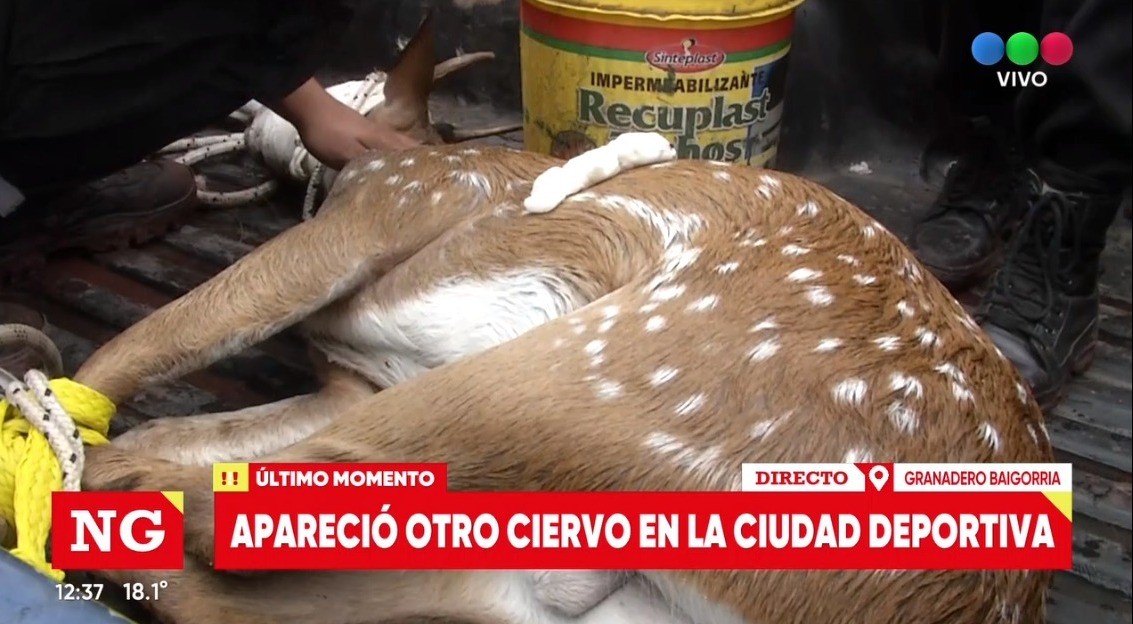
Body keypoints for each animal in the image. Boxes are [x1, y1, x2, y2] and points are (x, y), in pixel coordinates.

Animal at [48, 11, 1056, 624]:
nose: (263, 104)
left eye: (361, 80)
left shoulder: (383, 214)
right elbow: (213, 420)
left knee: (214, 511)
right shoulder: (354, 382)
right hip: (563, 575)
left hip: (594, 379)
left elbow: (154, 340)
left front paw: (50, 415)